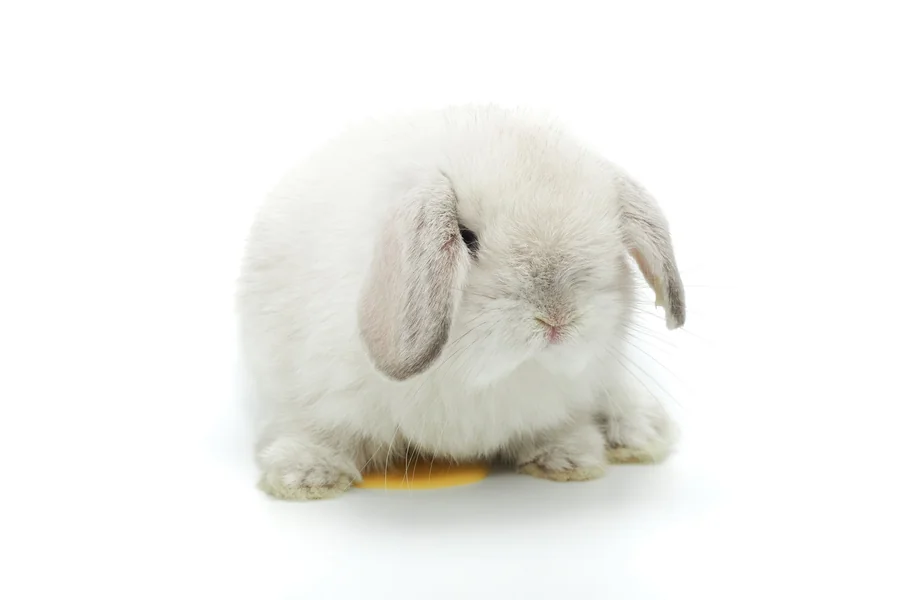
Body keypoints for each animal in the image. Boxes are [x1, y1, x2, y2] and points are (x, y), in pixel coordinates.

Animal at [237, 105, 685, 500]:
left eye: (612, 240)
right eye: (466, 238)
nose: (557, 318)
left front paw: (569, 457)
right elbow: (321, 431)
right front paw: (308, 476)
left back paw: (638, 431)